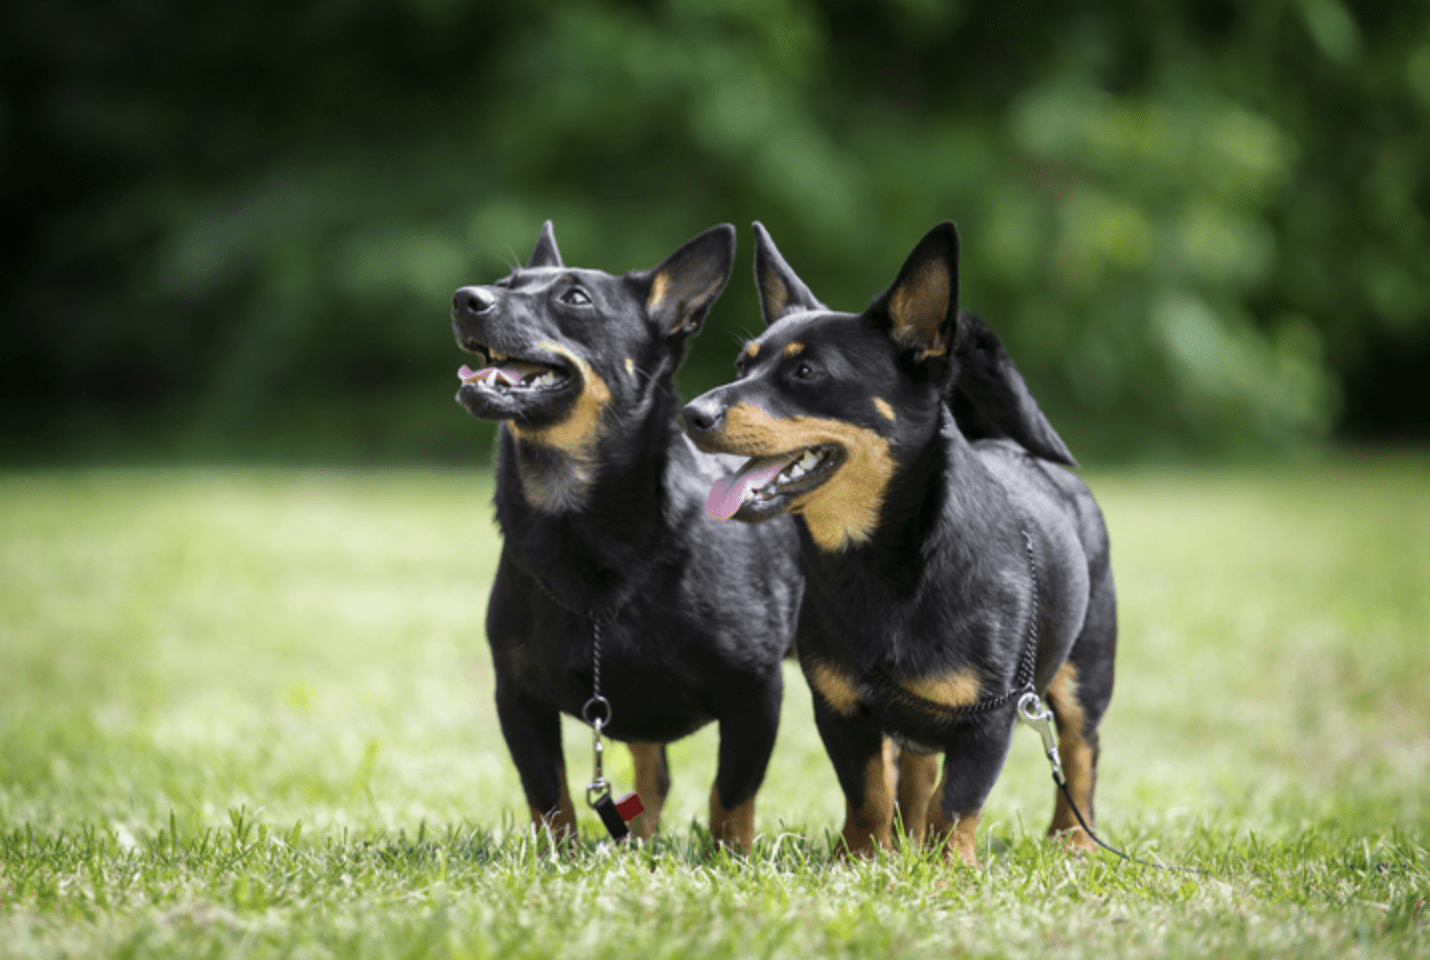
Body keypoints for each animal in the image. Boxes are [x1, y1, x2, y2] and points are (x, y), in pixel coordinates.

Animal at [449, 223, 800, 846]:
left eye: (575, 298)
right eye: (507, 282)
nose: (466, 298)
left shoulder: (756, 695)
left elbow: (731, 799)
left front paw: (730, 859)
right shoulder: (518, 699)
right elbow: (551, 799)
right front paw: (558, 859)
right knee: (652, 776)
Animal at [680, 221, 1115, 869]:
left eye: (807, 374)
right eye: (741, 364)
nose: (691, 413)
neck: (880, 564)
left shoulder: (989, 723)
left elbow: (956, 806)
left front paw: (948, 873)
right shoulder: (842, 710)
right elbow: (867, 795)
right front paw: (859, 862)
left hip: (1084, 675)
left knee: (1082, 754)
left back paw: (1074, 841)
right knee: (913, 770)